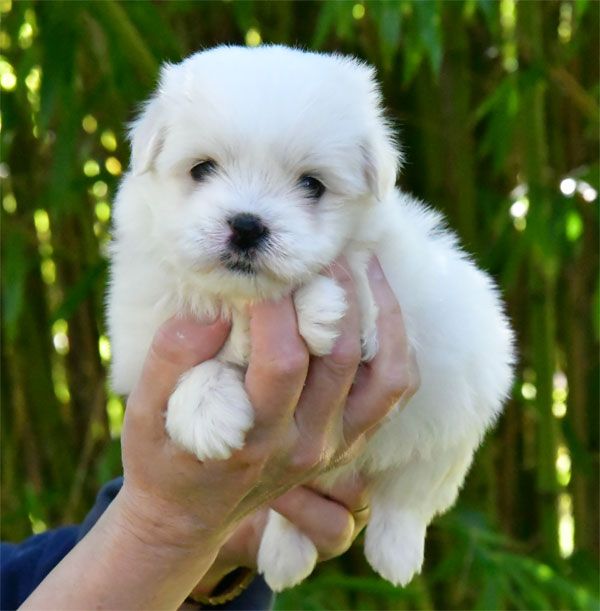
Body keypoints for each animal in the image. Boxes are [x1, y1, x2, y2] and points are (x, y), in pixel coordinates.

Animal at [108, 46, 516, 592]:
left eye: (312, 185)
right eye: (201, 169)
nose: (247, 225)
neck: (246, 300)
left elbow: (354, 275)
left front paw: (318, 309)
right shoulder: (142, 330)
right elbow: (192, 360)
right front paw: (207, 415)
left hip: (454, 416)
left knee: (411, 494)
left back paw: (395, 553)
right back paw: (285, 555)